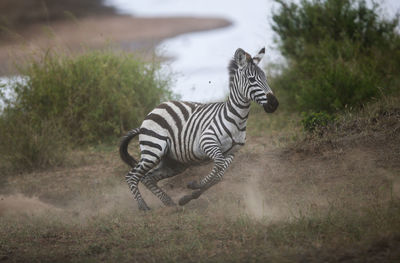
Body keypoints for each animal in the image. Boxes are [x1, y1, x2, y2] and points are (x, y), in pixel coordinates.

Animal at [120, 47, 280, 211]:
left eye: (266, 78)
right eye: (252, 79)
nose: (274, 104)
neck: (237, 119)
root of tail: (156, 109)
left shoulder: (231, 153)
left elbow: (219, 176)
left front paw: (189, 196)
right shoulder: (207, 142)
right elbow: (218, 167)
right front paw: (194, 185)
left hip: (174, 163)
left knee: (149, 177)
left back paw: (169, 202)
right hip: (153, 150)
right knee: (132, 176)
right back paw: (143, 206)